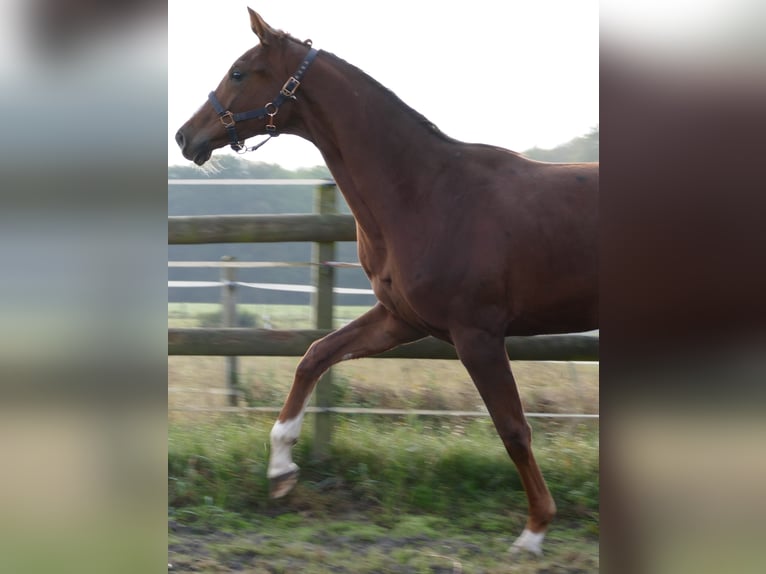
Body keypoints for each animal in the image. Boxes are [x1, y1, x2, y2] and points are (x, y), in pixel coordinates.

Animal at [176, 7, 600, 560]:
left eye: (239, 72)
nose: (185, 137)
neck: (425, 191)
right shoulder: (401, 320)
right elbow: (315, 354)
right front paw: (281, 468)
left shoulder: (477, 335)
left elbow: (513, 429)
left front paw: (533, 532)